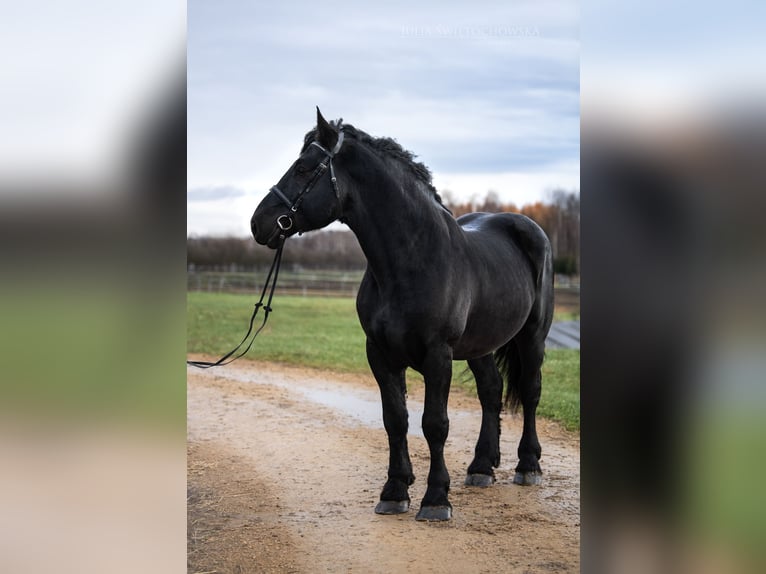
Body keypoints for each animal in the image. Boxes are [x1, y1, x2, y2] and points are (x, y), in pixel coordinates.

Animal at [255, 108, 556, 520]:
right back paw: (482, 467)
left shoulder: (438, 355)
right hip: (479, 346)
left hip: (532, 337)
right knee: (491, 392)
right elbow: (395, 420)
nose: (259, 223)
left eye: (302, 168)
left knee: (529, 391)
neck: (412, 259)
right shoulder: (380, 354)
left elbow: (435, 424)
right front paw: (395, 490)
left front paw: (436, 499)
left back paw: (528, 466)